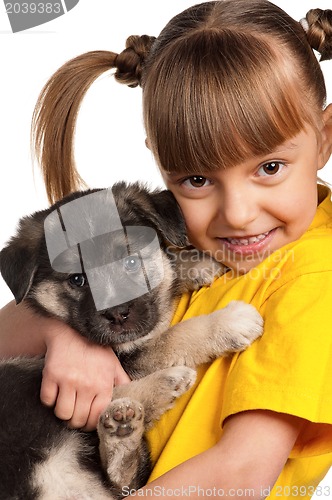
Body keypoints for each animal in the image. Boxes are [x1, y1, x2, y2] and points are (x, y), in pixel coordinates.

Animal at [0, 184, 264, 500]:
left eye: (131, 262)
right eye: (77, 279)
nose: (116, 313)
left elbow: (167, 270)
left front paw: (197, 263)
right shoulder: (128, 356)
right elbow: (174, 336)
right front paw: (229, 322)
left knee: (120, 479)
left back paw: (123, 432)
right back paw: (164, 385)